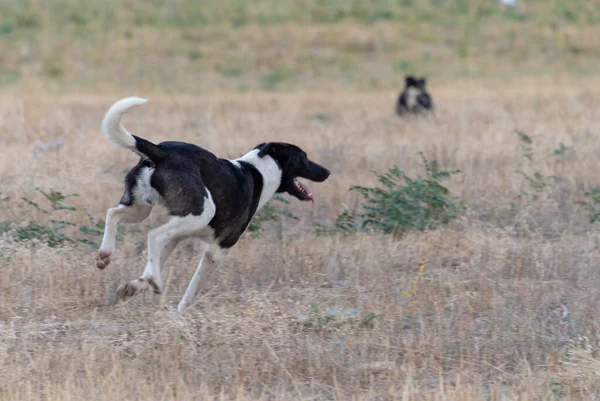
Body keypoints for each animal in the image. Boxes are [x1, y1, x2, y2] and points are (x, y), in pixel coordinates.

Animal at [96, 96, 330, 310]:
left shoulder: (178, 236)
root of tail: (161, 152)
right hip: (202, 212)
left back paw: (105, 254)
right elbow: (191, 292)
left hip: (141, 209)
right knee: (153, 235)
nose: (327, 172)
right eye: (303, 158)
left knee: (113, 213)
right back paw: (154, 279)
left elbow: (151, 266)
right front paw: (178, 311)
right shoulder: (217, 251)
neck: (259, 170)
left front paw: (134, 287)